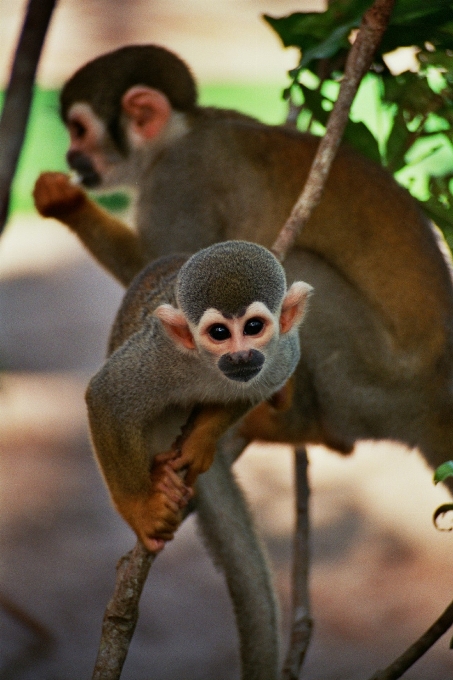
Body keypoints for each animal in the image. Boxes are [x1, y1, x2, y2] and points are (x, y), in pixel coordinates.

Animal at [85, 240, 310, 552]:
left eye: (253, 327)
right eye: (219, 332)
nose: (240, 356)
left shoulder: (284, 355)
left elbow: (254, 392)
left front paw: (200, 440)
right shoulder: (160, 354)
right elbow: (107, 397)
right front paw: (141, 511)